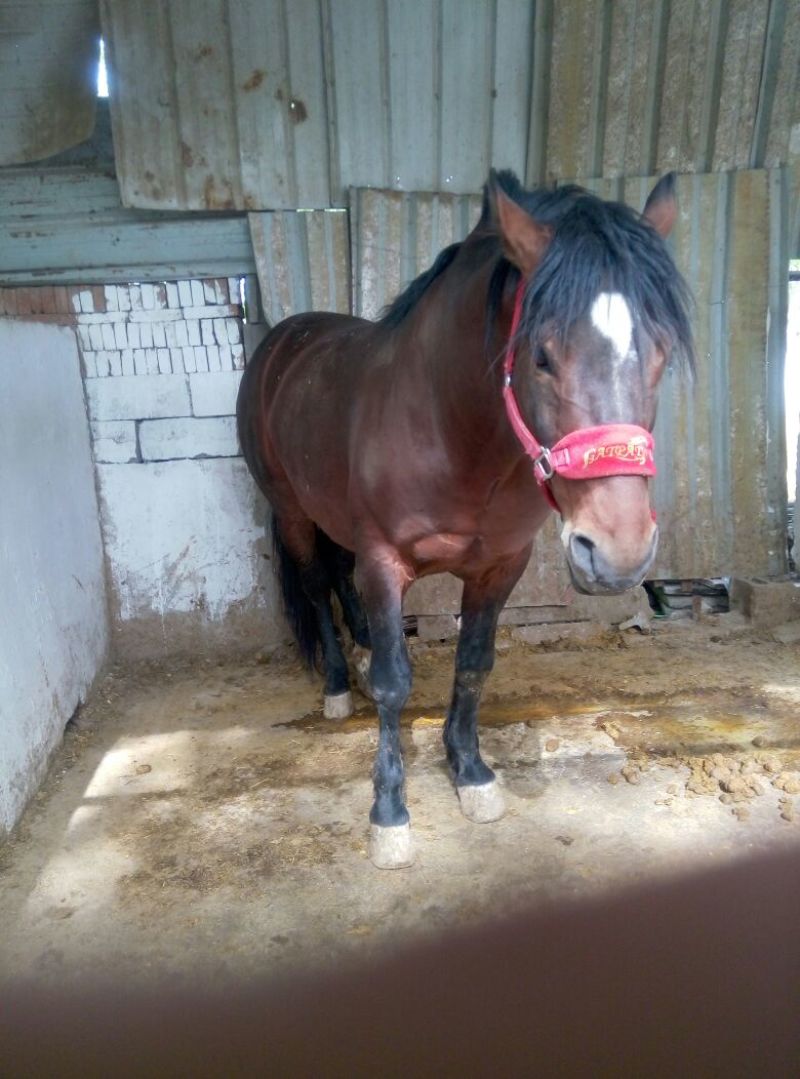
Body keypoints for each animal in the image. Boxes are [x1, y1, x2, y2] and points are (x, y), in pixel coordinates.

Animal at [236, 170, 693, 869]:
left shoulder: (500, 566)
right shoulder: (384, 563)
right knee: (316, 587)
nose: (618, 552)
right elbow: (396, 683)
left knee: (342, 586)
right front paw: (389, 814)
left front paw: (470, 772)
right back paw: (340, 687)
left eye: (661, 353)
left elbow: (474, 665)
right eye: (540, 355)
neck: (451, 430)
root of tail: (284, 341)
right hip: (292, 514)